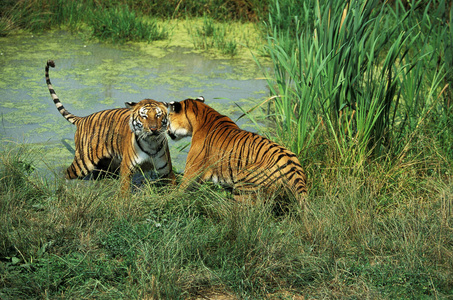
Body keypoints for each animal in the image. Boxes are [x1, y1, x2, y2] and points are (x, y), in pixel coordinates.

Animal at [44, 59, 175, 193]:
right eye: (144, 116)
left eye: (158, 115)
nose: (153, 129)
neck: (151, 143)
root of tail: (83, 119)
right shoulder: (126, 169)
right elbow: (124, 192)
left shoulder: (167, 171)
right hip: (83, 163)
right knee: (67, 173)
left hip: (105, 164)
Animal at [165, 96, 308, 206]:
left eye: (168, 119)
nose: (166, 130)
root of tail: (291, 165)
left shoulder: (193, 170)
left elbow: (181, 188)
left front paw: (169, 199)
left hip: (244, 186)